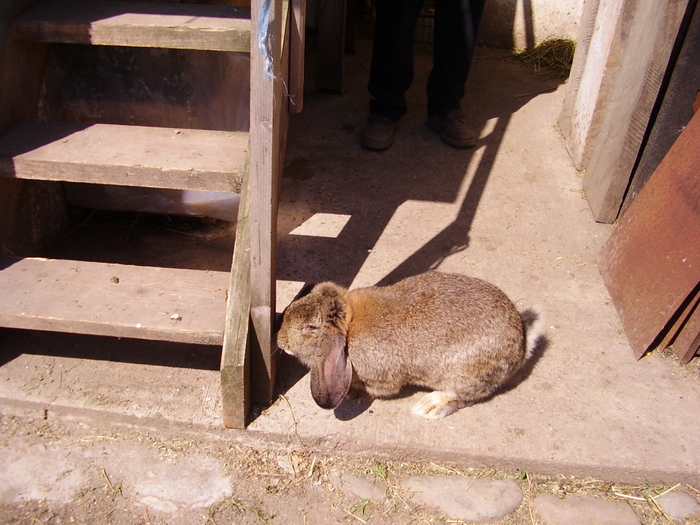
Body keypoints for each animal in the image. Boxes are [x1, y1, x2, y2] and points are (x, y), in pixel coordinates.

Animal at [276, 270, 544, 418]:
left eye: (310, 328)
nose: (280, 340)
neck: (349, 324)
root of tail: (521, 345)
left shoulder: (382, 378)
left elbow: (378, 390)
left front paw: (355, 394)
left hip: (466, 375)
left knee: (465, 396)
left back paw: (430, 406)